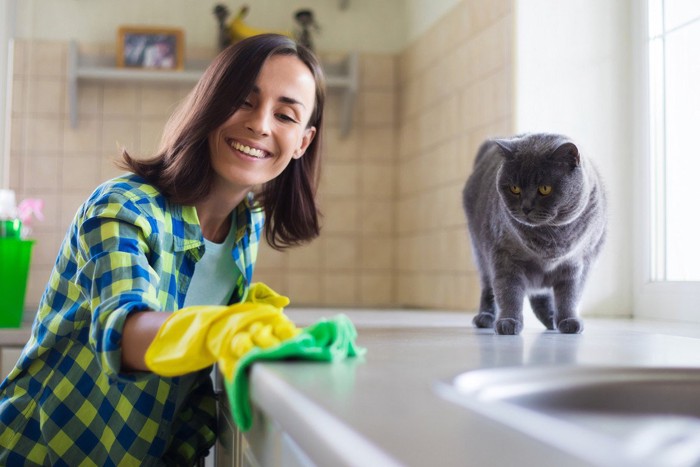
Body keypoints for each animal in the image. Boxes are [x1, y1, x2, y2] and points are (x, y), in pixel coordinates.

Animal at [462, 133, 604, 334]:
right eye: (514, 188)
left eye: (545, 189)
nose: (526, 207)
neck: (550, 239)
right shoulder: (504, 256)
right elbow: (508, 292)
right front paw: (508, 322)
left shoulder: (574, 262)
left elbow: (569, 295)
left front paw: (568, 320)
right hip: (480, 253)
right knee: (488, 287)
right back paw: (485, 318)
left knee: (542, 295)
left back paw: (552, 320)